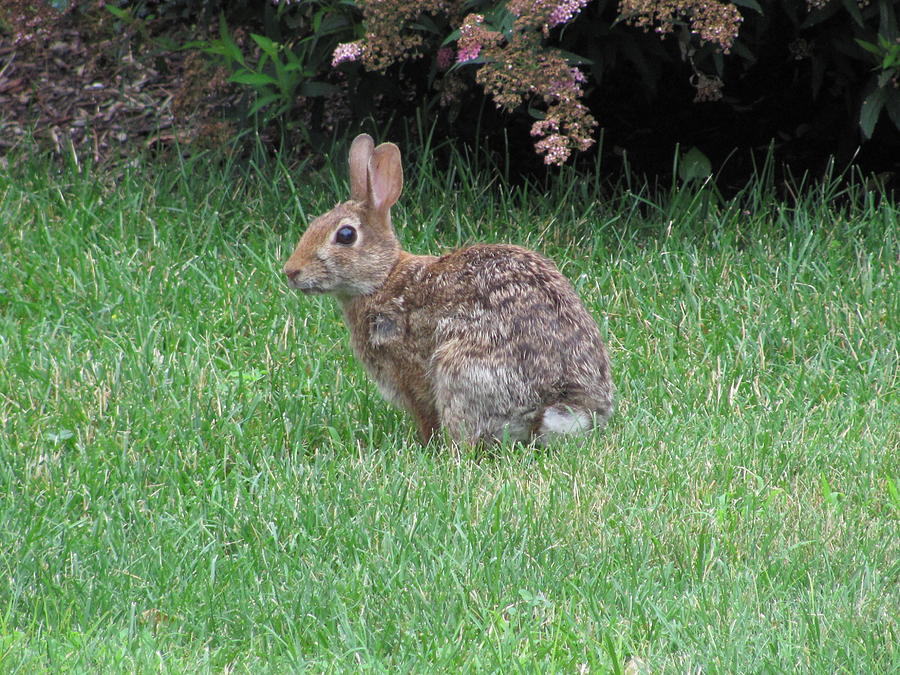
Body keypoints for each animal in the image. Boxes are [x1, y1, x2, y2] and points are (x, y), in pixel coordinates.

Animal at [284, 134, 616, 446]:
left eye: (345, 235)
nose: (291, 272)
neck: (384, 278)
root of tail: (561, 407)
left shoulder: (409, 373)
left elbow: (424, 413)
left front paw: (425, 443)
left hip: (460, 371)